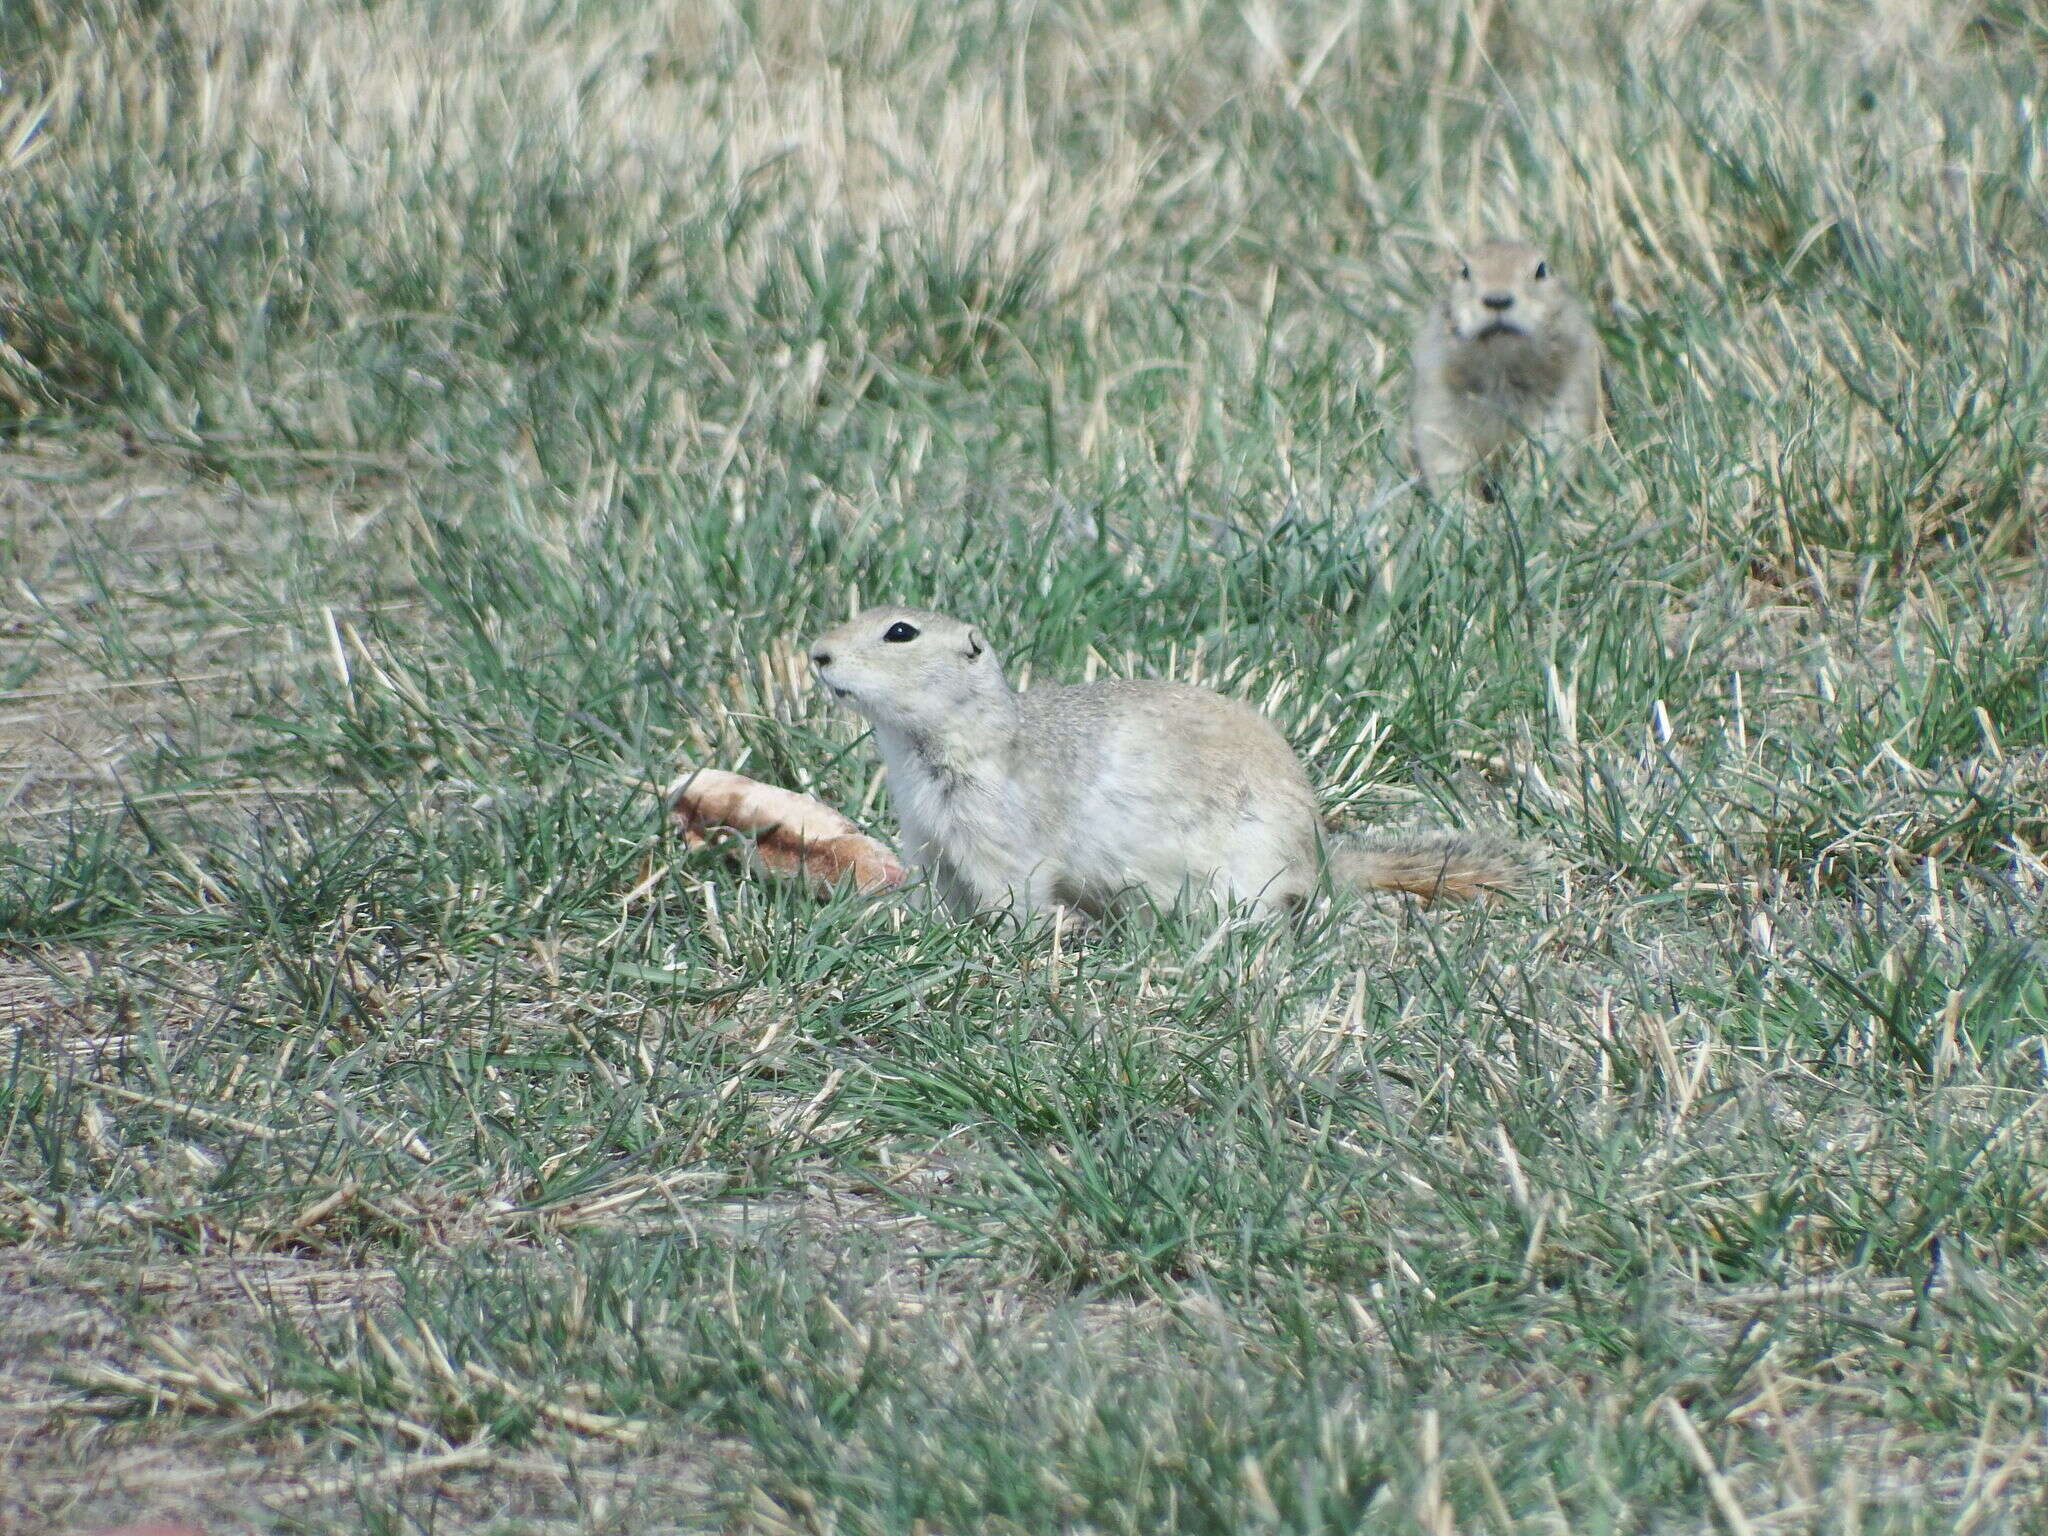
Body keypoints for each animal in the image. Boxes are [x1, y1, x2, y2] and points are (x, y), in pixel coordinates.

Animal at [806, 606, 1531, 921]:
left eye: (900, 632)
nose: (815, 652)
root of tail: (1320, 856)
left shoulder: (994, 833)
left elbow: (1014, 891)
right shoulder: (928, 834)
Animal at [1400, 240, 1605, 495]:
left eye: (1541, 270)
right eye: (1464, 271)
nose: (1497, 300)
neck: (1502, 366)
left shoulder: (1561, 410)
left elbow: (1546, 454)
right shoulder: (1440, 414)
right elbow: (1448, 464)